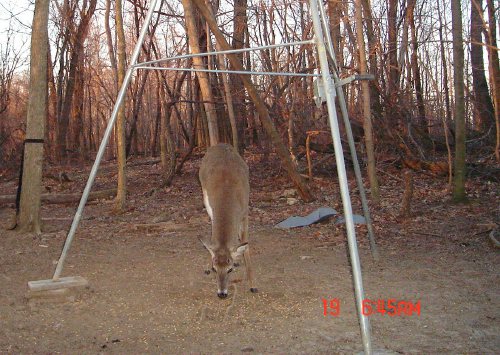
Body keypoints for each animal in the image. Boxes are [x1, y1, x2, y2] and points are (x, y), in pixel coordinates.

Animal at [198, 143, 258, 298]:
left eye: (229, 269)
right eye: (214, 268)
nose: (222, 293)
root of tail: (219, 144)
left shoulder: (245, 213)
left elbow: (246, 245)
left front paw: (253, 285)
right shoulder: (212, 208)